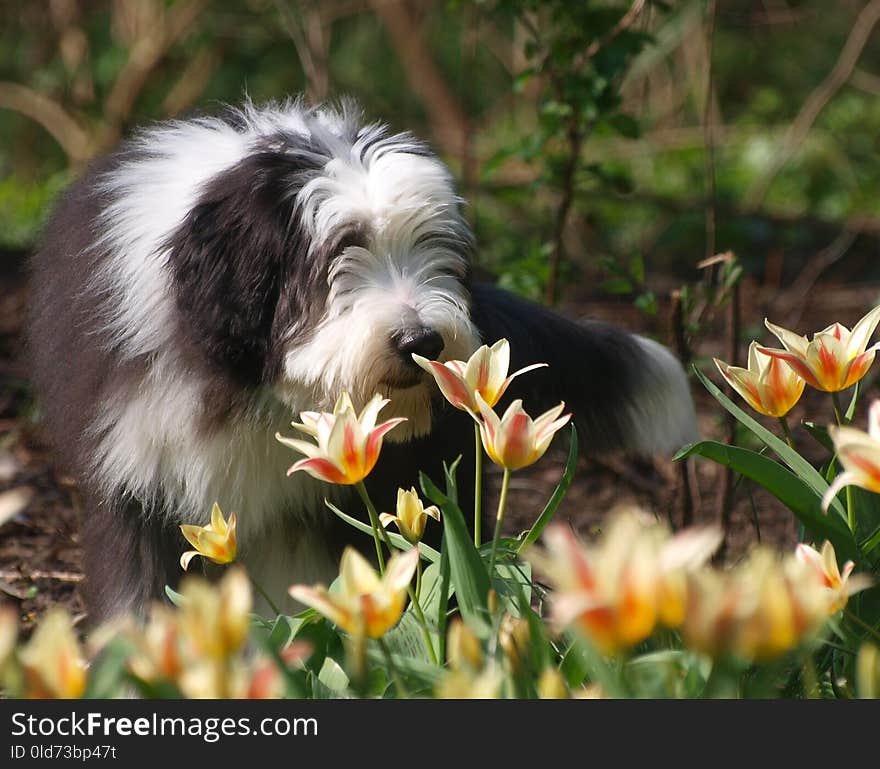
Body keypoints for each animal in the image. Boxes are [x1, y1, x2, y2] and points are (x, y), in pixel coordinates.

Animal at [27, 99, 696, 620]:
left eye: (434, 249)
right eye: (339, 254)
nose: (423, 342)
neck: (255, 391)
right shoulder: (140, 482)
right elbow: (138, 595)